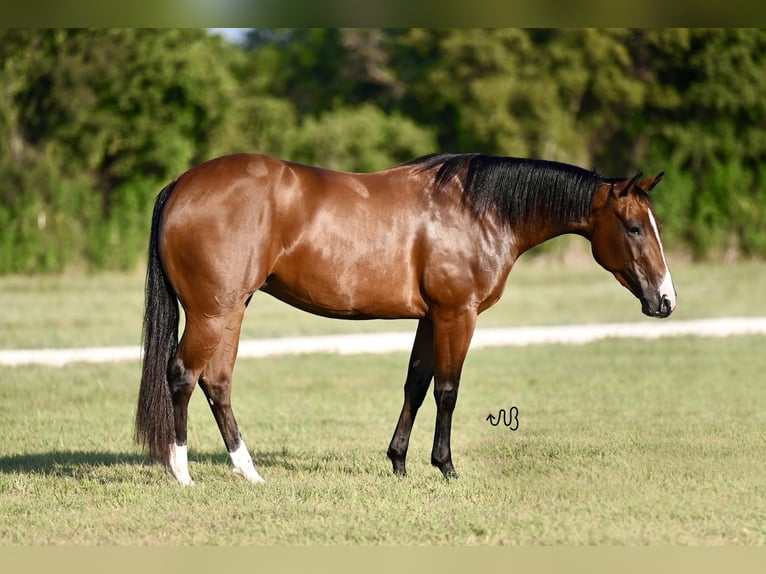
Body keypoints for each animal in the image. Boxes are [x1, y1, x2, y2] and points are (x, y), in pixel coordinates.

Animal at [135, 153, 676, 486]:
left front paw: (398, 462)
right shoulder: (458, 315)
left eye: (654, 225)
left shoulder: (430, 318)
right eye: (633, 227)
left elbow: (416, 384)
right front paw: (446, 466)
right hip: (213, 311)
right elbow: (447, 390)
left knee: (217, 382)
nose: (666, 300)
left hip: (231, 311)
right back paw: (182, 472)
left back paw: (247, 471)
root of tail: (182, 185)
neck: (478, 210)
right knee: (183, 375)